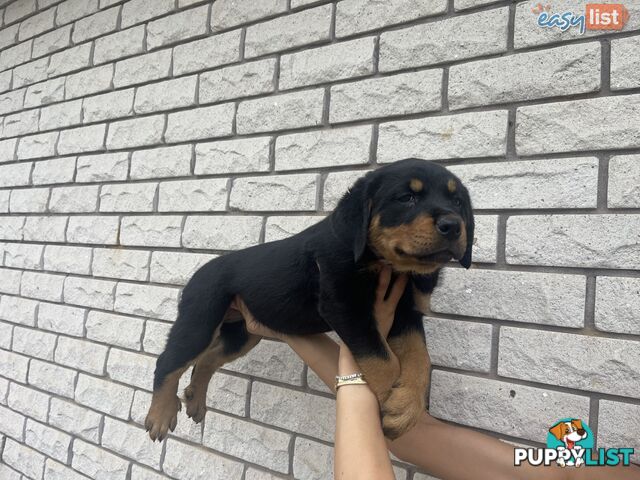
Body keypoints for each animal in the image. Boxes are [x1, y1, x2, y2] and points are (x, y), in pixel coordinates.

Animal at [146, 158, 476, 442]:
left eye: (458, 202)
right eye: (407, 198)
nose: (453, 225)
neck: (396, 269)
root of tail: (197, 274)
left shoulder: (405, 312)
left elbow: (421, 358)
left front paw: (405, 409)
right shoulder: (344, 304)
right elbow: (383, 361)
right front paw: (388, 407)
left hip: (242, 332)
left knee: (208, 358)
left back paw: (195, 399)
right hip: (199, 320)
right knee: (169, 361)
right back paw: (161, 414)